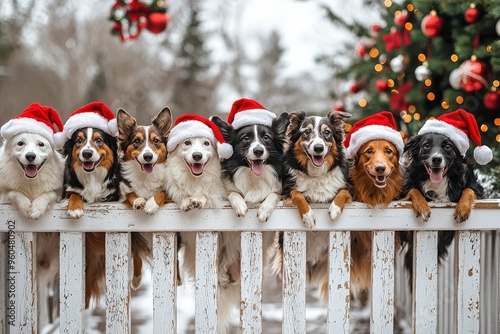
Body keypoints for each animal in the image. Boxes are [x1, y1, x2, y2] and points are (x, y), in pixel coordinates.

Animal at [116, 106, 172, 290]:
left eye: (156, 141)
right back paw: (136, 279)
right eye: (136, 141)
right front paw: (139, 201)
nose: (148, 157)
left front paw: (151, 205)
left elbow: (160, 193)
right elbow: (131, 193)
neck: (145, 176)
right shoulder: (123, 190)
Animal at [272, 109, 350, 300]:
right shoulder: (287, 189)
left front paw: (335, 209)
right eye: (306, 132)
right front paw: (308, 216)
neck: (317, 174)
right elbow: (298, 194)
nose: (318, 148)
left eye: (327, 133)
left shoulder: (347, 187)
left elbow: (342, 192)